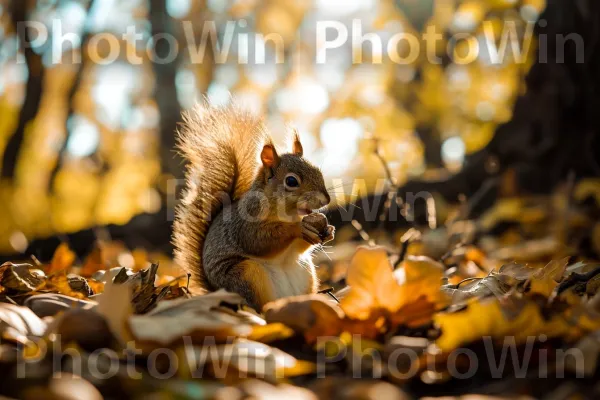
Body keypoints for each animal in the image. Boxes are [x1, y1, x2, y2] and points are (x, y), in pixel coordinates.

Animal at [171, 102, 336, 310]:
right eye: (291, 181)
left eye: (318, 172)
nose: (326, 200)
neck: (286, 213)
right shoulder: (244, 221)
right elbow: (257, 240)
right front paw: (298, 227)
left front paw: (328, 231)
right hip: (246, 275)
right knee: (259, 305)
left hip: (305, 271)